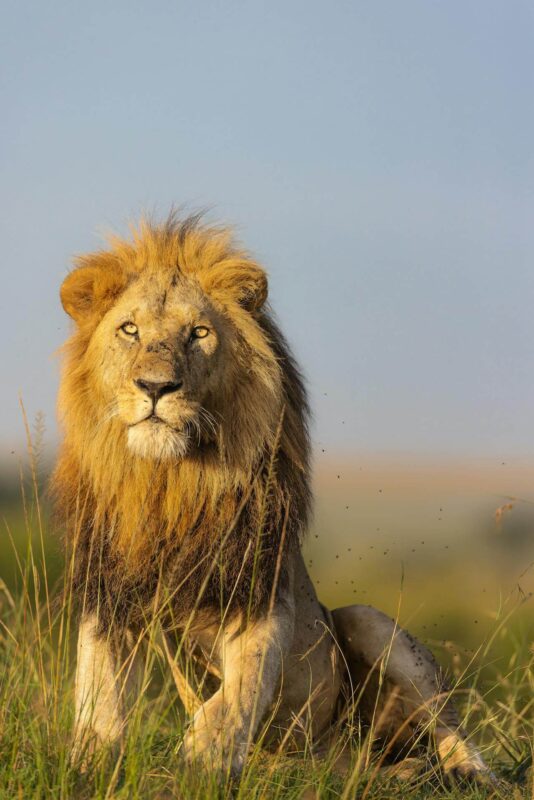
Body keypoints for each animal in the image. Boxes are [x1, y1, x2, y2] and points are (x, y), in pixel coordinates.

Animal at [53, 213, 492, 782]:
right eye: (129, 329)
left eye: (198, 333)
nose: (155, 387)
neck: (169, 484)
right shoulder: (108, 591)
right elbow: (99, 691)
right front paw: (86, 763)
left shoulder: (262, 589)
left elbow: (239, 691)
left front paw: (207, 756)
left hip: (367, 621)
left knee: (453, 732)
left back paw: (471, 777)